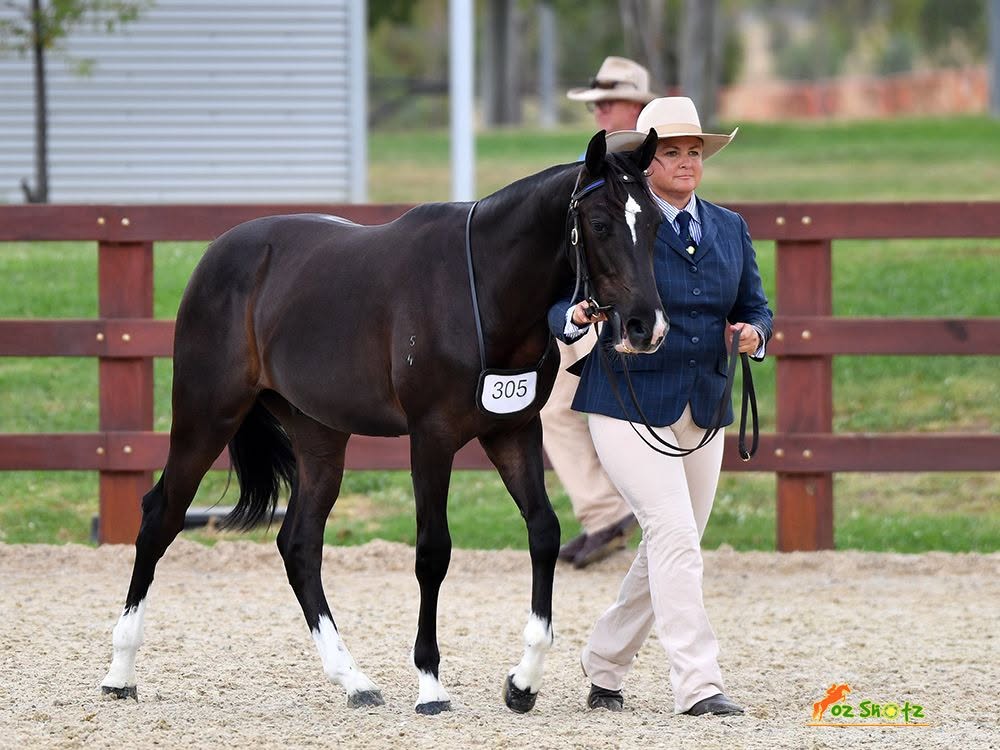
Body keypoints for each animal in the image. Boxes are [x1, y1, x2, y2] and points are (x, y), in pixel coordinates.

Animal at [100, 129, 666, 715]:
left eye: (654, 222)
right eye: (598, 223)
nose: (645, 326)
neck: (483, 289)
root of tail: (217, 254)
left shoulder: (512, 429)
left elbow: (544, 532)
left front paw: (524, 681)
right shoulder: (431, 438)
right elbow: (433, 551)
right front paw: (431, 683)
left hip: (318, 434)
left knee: (299, 544)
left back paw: (353, 679)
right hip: (206, 415)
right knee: (161, 516)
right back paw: (120, 671)